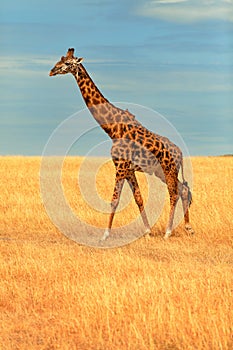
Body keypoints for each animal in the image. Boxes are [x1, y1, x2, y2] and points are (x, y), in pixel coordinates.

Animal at [49, 48, 195, 241]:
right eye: (60, 60)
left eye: (67, 63)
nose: (52, 71)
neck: (112, 128)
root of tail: (181, 154)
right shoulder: (128, 169)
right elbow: (138, 198)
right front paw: (147, 232)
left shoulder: (120, 166)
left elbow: (114, 200)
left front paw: (105, 235)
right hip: (160, 171)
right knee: (184, 189)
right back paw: (188, 228)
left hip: (168, 169)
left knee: (174, 193)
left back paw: (168, 232)